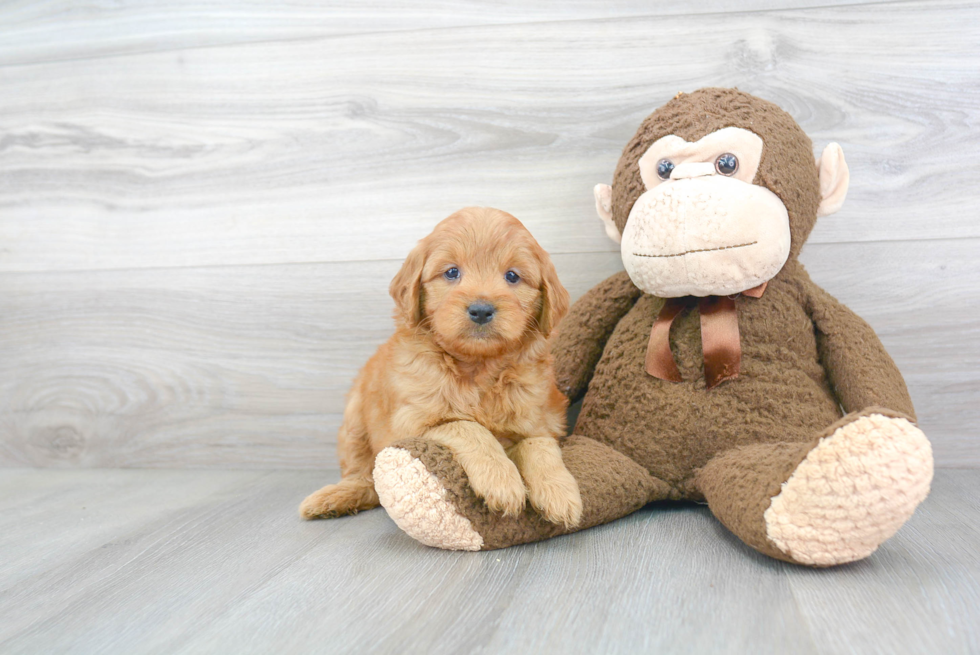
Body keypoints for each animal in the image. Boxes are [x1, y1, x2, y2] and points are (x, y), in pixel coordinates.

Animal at [300, 208, 580, 532]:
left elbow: (540, 445)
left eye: (512, 276)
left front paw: (560, 492)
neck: (478, 368)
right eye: (451, 272)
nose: (481, 309)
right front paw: (501, 480)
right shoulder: (412, 422)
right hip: (354, 422)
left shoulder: (540, 419)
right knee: (365, 478)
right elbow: (467, 426)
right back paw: (335, 498)